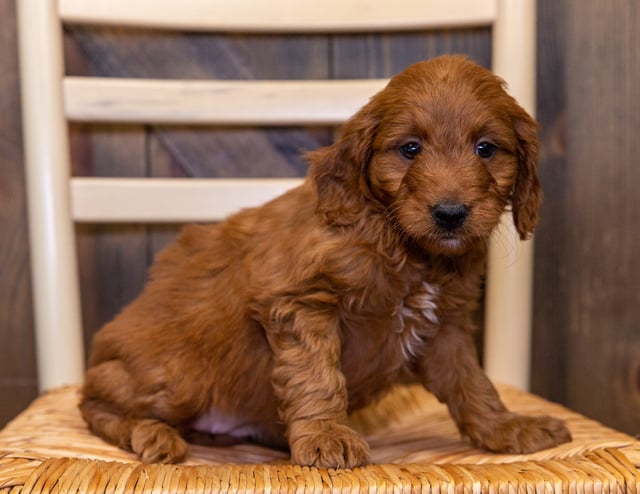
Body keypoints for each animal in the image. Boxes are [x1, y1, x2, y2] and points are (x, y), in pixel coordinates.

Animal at [80, 56, 568, 468]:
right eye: (410, 149)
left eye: (486, 149)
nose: (450, 214)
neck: (401, 245)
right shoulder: (300, 302)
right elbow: (317, 374)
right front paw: (326, 436)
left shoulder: (445, 328)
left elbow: (472, 384)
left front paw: (506, 427)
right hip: (176, 374)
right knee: (92, 399)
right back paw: (151, 433)